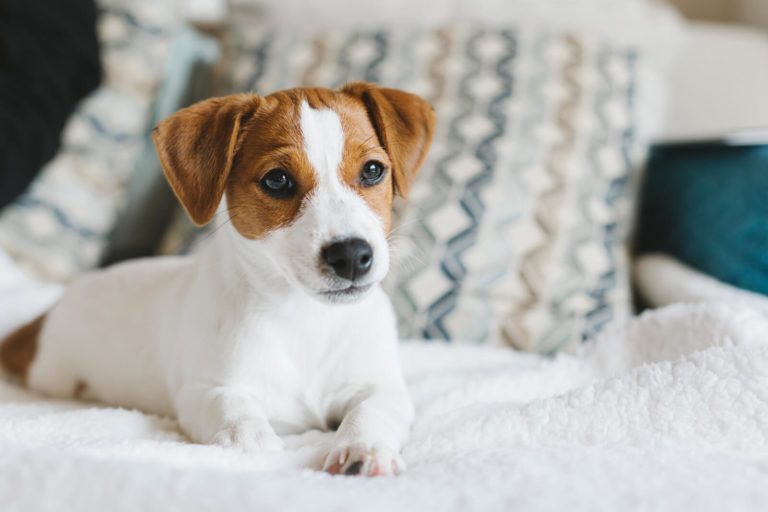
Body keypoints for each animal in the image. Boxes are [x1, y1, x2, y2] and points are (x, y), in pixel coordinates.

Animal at [0, 82, 436, 478]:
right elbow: (235, 417)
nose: (351, 256)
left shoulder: (380, 386)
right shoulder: (206, 390)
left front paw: (364, 449)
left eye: (373, 170)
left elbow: (373, 411)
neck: (303, 316)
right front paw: (254, 441)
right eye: (277, 180)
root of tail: (43, 319)